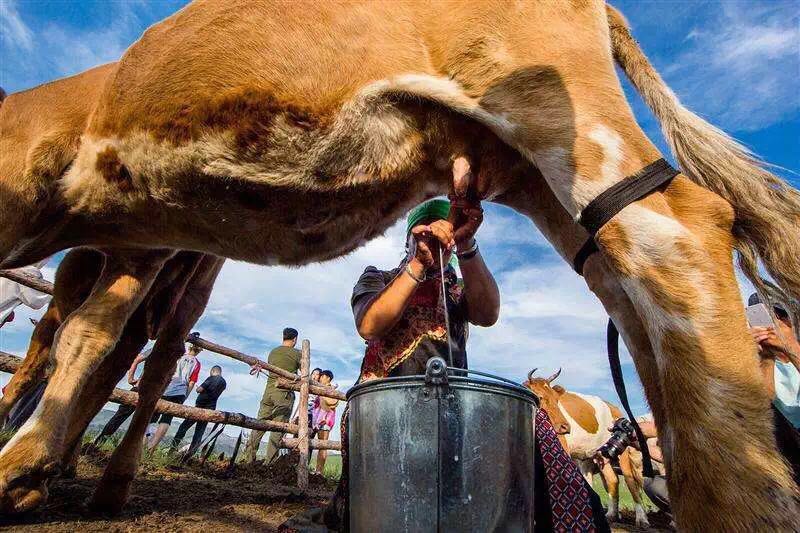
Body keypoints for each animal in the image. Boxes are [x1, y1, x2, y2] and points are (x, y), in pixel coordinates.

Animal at [524, 368, 648, 524]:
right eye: (539, 397)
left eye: (557, 400)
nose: (565, 427)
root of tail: (613, 407)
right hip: (600, 455)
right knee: (612, 480)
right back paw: (611, 515)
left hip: (622, 449)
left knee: (631, 482)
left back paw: (641, 518)